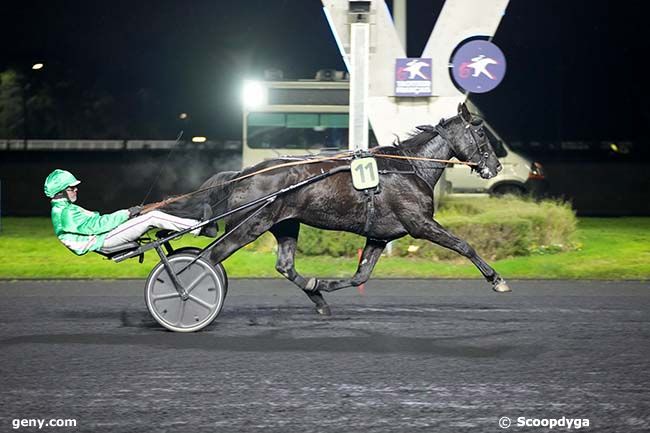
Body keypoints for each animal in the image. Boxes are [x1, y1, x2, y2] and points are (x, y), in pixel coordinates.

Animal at [161, 104, 506, 314]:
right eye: (479, 132)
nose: (496, 166)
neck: (410, 168)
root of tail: (243, 173)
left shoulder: (379, 236)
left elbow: (359, 275)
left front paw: (322, 284)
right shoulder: (420, 223)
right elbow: (463, 245)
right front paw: (496, 279)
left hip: (285, 225)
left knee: (284, 266)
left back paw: (316, 297)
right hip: (250, 225)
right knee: (208, 260)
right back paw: (184, 297)